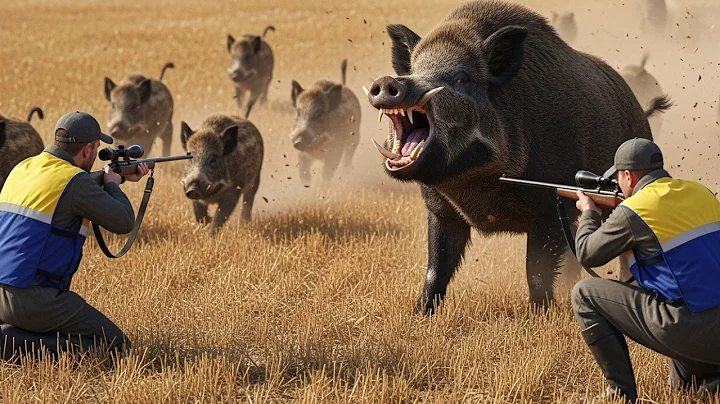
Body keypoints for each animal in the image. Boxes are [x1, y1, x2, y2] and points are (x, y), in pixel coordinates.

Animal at [366, 0, 671, 315]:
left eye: (461, 78)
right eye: (416, 68)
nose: (389, 82)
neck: (476, 185)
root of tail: (640, 109)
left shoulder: (548, 211)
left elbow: (535, 269)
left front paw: (541, 314)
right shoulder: (441, 210)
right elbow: (435, 269)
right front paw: (419, 315)